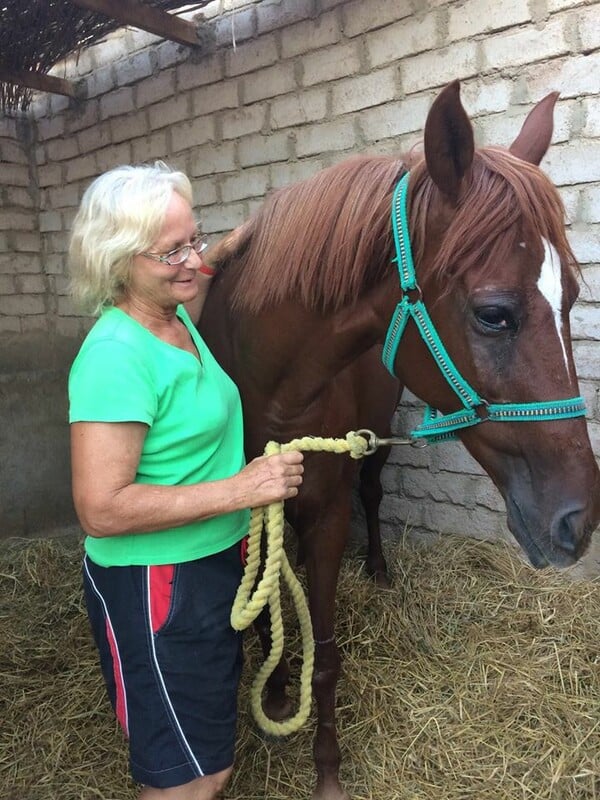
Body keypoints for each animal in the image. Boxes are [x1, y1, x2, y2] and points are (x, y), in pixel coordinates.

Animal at [200, 83, 600, 800]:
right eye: (493, 314)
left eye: (571, 297)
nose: (578, 520)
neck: (271, 387)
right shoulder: (250, 509)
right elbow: (270, 610)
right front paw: (274, 689)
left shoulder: (329, 514)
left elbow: (327, 657)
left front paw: (327, 770)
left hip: (374, 448)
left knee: (374, 494)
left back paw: (380, 568)